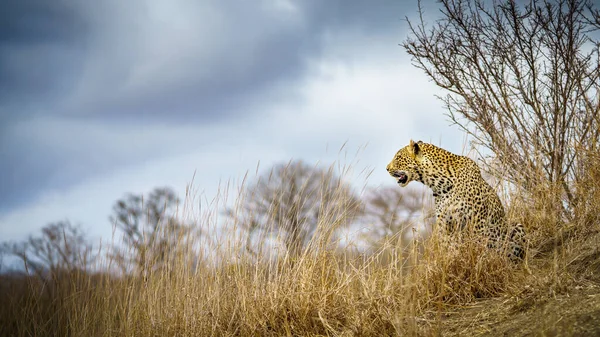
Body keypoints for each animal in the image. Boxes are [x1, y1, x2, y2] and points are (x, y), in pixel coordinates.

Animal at [384, 139, 524, 260]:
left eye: (398, 157)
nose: (386, 168)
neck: (438, 183)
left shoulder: (478, 222)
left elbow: (479, 247)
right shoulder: (445, 224)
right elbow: (448, 248)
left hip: (516, 227)